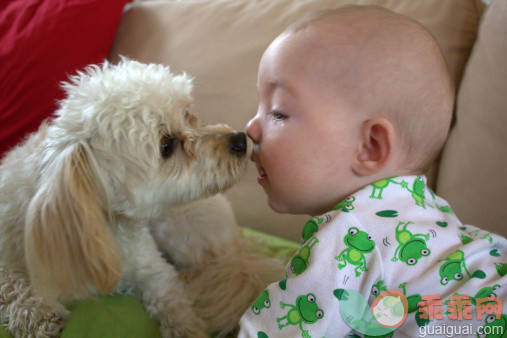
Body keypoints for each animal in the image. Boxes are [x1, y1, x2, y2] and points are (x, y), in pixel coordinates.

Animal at [0, 59, 282, 336]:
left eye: (187, 114)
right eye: (166, 146)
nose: (241, 140)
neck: (104, 227)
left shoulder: (154, 270)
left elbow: (175, 305)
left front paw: (187, 327)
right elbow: (12, 283)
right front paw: (38, 313)